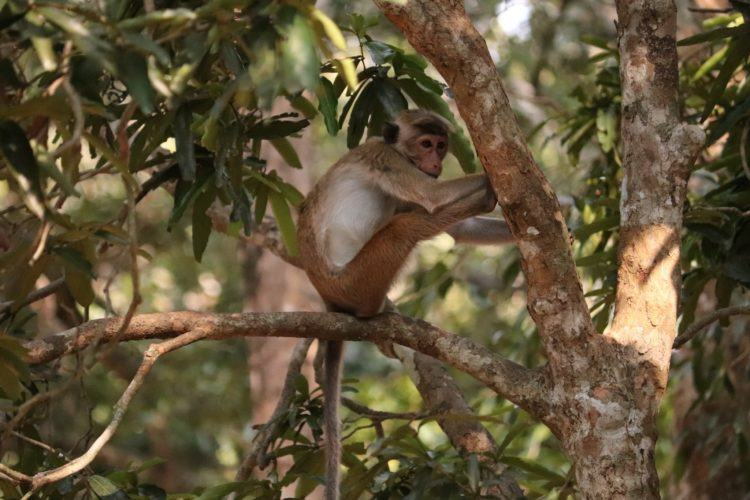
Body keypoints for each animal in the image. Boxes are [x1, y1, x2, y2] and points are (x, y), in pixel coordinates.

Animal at [296, 109, 516, 500]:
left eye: (441, 146)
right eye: (425, 144)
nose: (435, 161)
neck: (397, 148)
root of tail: (329, 299)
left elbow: (457, 226)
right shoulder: (385, 160)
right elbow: (431, 196)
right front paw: (491, 184)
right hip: (357, 280)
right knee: (403, 227)